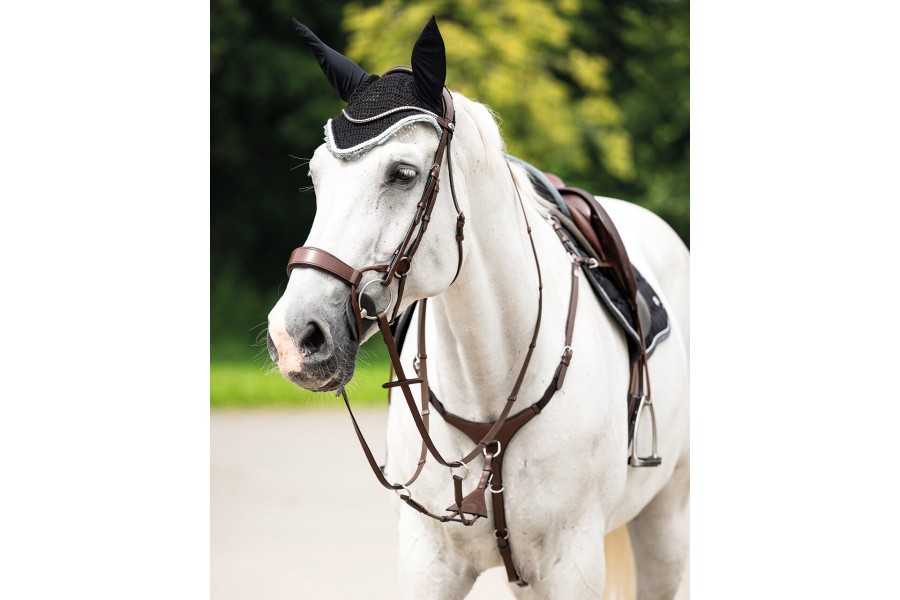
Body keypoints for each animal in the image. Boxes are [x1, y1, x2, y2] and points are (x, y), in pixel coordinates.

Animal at [266, 17, 689, 600]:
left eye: (403, 173)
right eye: (316, 176)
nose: (294, 336)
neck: (490, 385)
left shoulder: (573, 564)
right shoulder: (428, 562)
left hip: (666, 523)